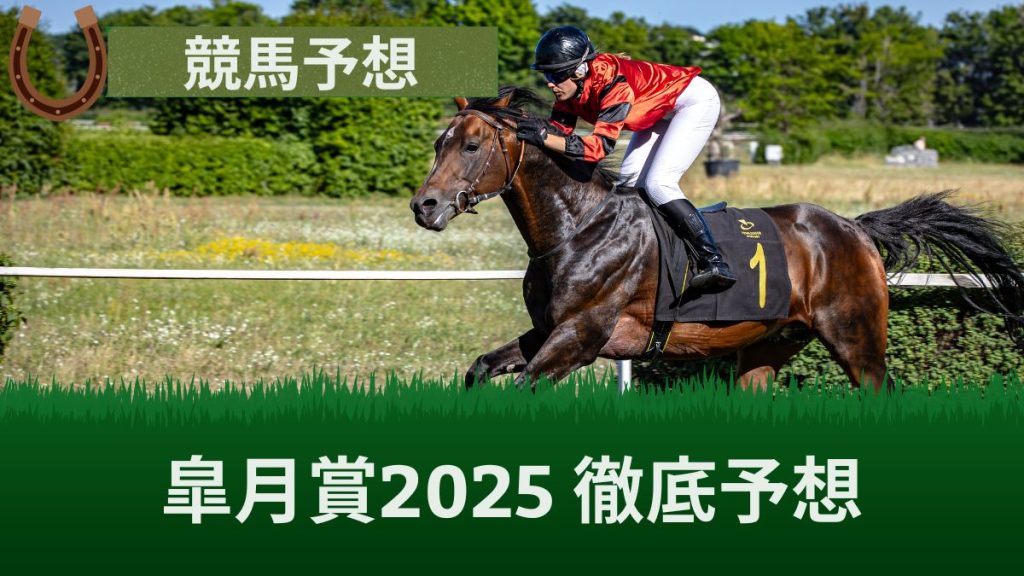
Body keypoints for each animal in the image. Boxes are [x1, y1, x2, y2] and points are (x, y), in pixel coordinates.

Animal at [410, 87, 1024, 391]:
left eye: (470, 146)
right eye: (439, 143)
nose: (424, 206)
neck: (577, 229)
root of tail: (855, 228)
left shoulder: (581, 336)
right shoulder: (549, 330)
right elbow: (481, 368)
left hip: (857, 340)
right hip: (770, 344)